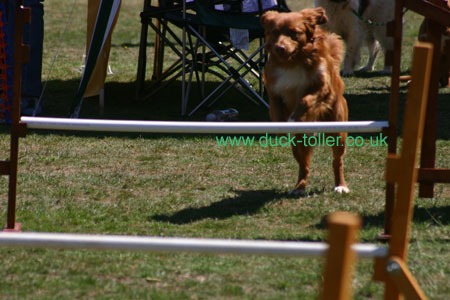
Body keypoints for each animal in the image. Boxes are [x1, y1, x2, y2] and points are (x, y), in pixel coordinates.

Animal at [260, 8, 352, 196]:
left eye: (294, 33)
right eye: (274, 32)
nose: (280, 48)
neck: (293, 61)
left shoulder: (323, 88)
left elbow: (305, 99)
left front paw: (294, 117)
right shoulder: (273, 90)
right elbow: (275, 108)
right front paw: (281, 125)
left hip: (338, 130)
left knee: (337, 161)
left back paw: (340, 185)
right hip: (297, 143)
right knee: (304, 165)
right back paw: (299, 187)